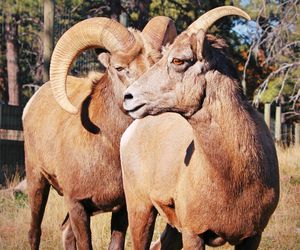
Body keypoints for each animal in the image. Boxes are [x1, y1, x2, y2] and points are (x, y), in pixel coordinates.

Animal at [23, 16, 178, 249]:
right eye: (119, 67)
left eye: (156, 64)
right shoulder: (77, 204)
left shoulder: (122, 211)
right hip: (37, 180)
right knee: (34, 231)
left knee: (65, 231)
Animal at [120, 6, 280, 250]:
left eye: (178, 60)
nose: (128, 97)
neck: (235, 181)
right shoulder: (193, 233)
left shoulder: (252, 236)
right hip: (141, 209)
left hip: (170, 227)